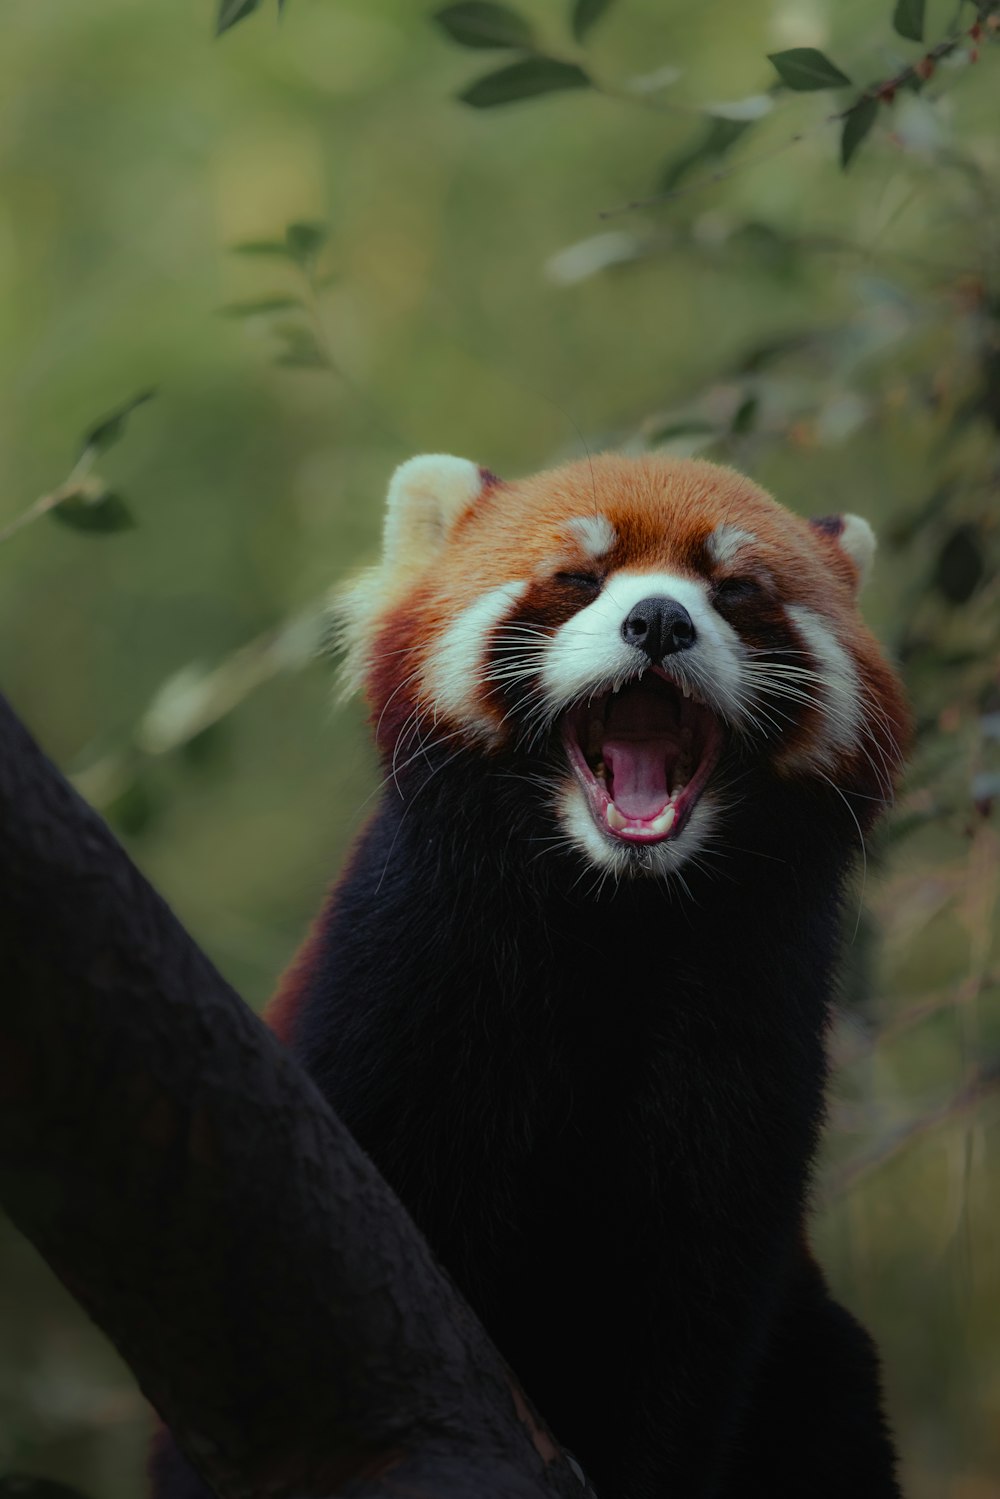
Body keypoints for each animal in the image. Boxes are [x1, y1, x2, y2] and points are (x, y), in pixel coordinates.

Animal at [152, 452, 911, 1499]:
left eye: (734, 589)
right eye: (578, 580)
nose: (660, 621)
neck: (618, 916)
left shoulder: (749, 1048)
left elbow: (688, 1324)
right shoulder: (397, 988)